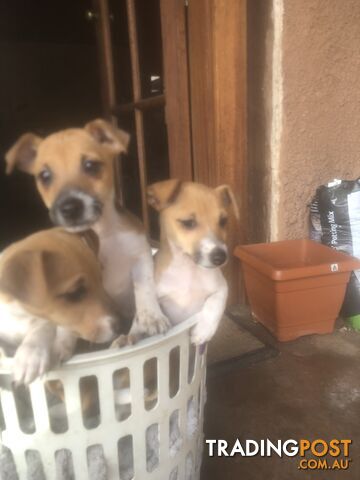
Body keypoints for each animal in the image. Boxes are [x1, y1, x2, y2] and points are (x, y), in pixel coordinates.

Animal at [0, 228, 122, 382]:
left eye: (101, 280)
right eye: (75, 293)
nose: (123, 324)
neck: (18, 315)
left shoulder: (47, 321)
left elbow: (41, 328)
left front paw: (29, 356)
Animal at [5, 120, 169, 338]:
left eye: (90, 166)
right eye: (45, 176)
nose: (69, 208)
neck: (103, 232)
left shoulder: (140, 256)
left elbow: (144, 288)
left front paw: (151, 316)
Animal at [146, 180, 239, 344]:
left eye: (223, 221)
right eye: (188, 223)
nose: (220, 257)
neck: (188, 269)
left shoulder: (222, 287)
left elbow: (215, 304)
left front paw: (203, 331)